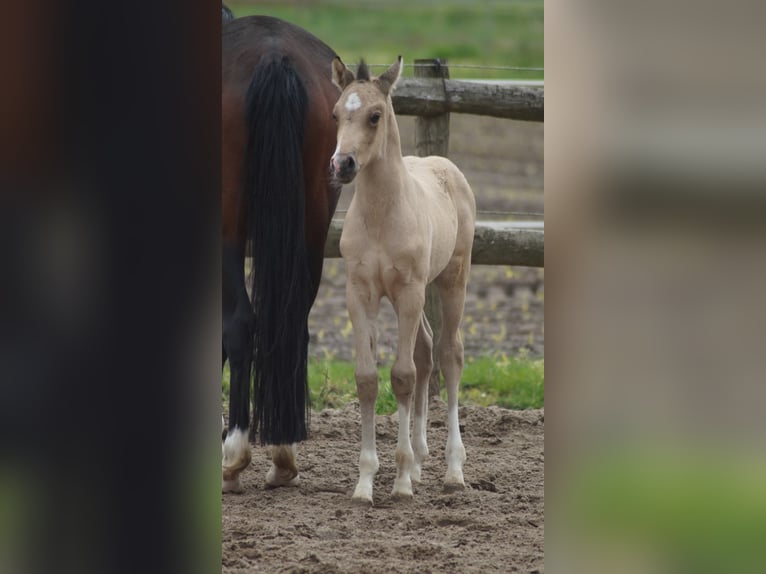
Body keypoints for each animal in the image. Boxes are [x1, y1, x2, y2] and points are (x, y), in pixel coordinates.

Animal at [222, 16, 344, 493]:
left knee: (239, 323)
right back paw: (283, 454)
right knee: (293, 325)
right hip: (313, 220)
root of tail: (274, 55)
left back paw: (234, 454)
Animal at [330, 57, 477, 503]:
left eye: (375, 115)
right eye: (336, 114)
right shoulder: (360, 293)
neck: (381, 215)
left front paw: (399, 483)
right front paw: (365, 483)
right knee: (427, 349)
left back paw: (452, 469)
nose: (341, 165)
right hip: (412, 292)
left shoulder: (410, 292)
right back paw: (419, 460)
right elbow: (367, 378)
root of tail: (445, 165)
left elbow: (403, 375)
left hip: (450, 279)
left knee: (448, 354)